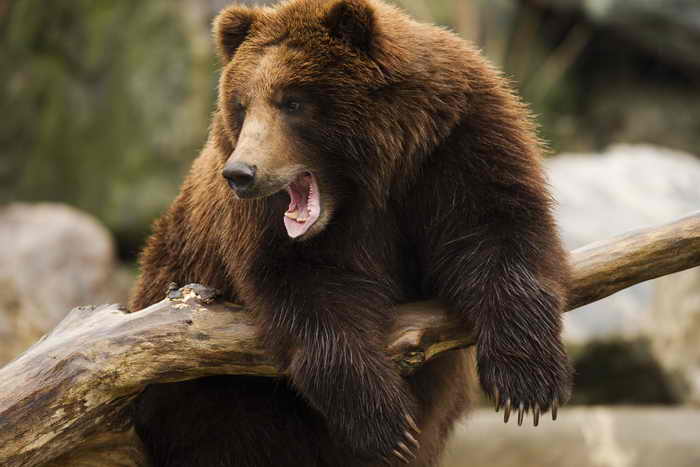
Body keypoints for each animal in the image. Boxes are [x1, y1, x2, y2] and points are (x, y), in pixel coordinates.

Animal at [129, 0, 572, 466]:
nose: (241, 173)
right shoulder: (268, 230)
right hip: (211, 399)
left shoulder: (456, 145)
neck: (372, 177)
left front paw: (527, 383)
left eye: (292, 101)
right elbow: (310, 296)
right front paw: (388, 422)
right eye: (242, 104)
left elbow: (495, 232)